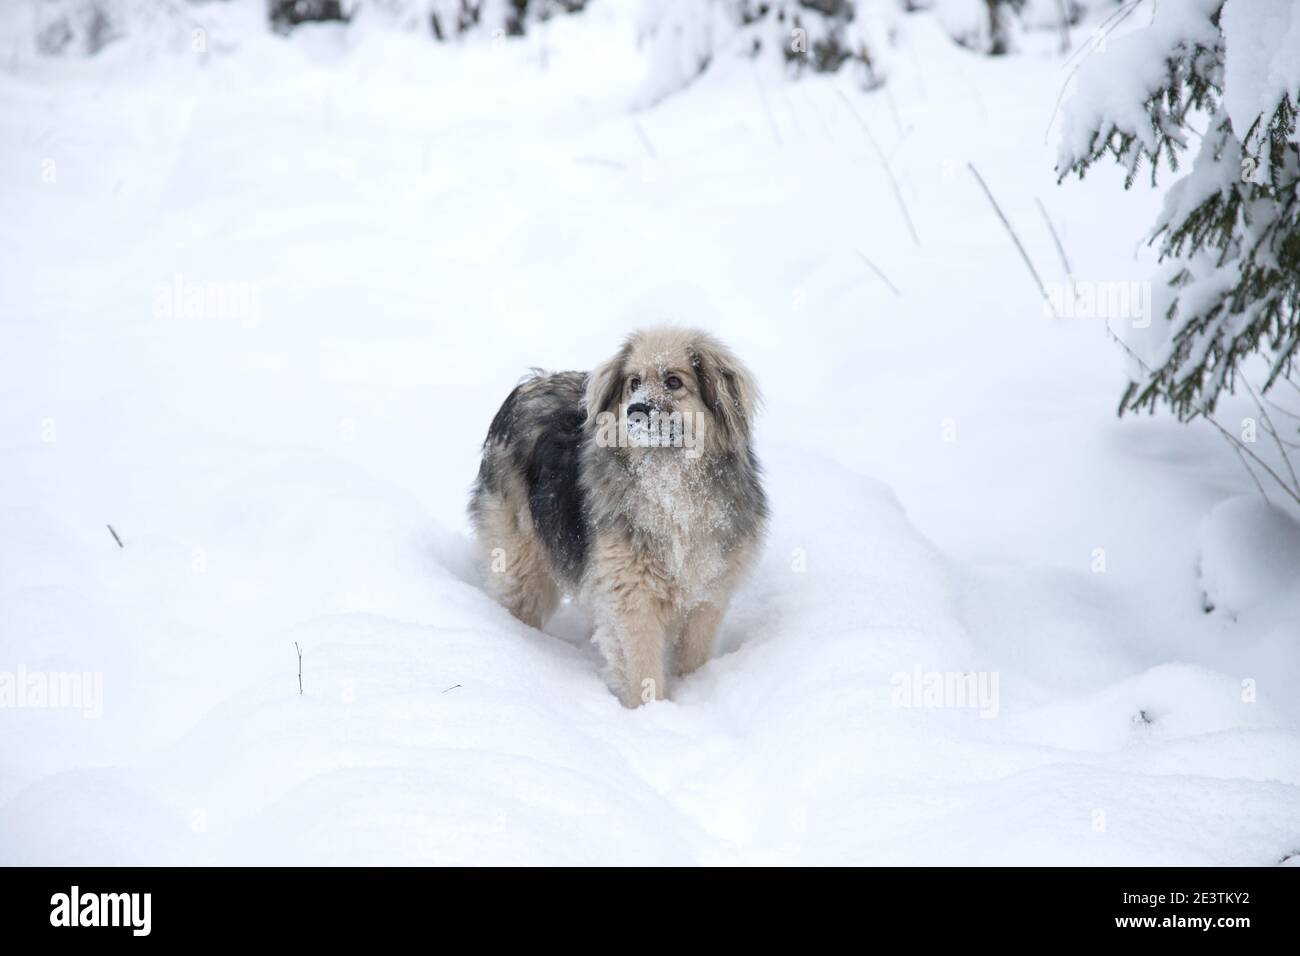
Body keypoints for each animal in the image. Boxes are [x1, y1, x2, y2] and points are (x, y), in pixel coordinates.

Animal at [470, 325, 764, 707]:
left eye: (673, 381)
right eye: (633, 381)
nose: (635, 409)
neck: (670, 484)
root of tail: (528, 385)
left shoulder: (707, 594)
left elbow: (692, 655)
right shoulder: (632, 595)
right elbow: (643, 670)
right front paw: (652, 713)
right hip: (523, 559)